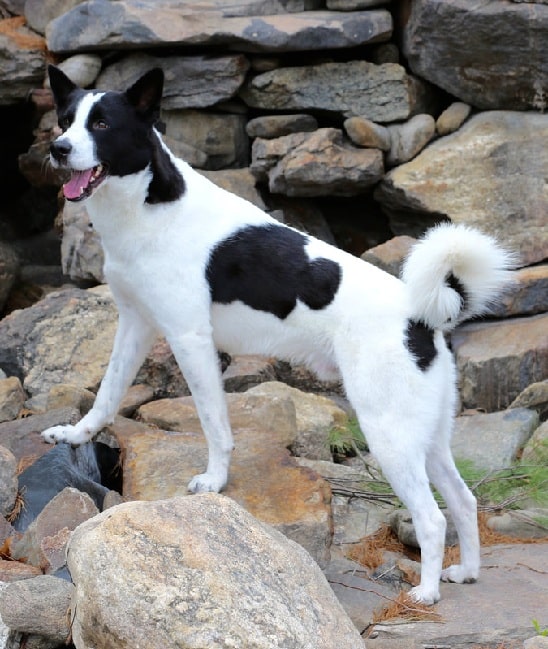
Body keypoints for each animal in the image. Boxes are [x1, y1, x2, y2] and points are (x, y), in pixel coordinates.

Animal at [44, 66, 512, 604]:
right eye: (65, 120)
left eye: (102, 124)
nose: (58, 148)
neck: (150, 205)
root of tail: (422, 316)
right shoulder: (134, 325)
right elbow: (106, 395)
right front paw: (75, 434)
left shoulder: (190, 338)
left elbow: (215, 426)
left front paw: (215, 481)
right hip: (426, 434)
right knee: (463, 499)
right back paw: (467, 572)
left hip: (389, 434)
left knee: (433, 518)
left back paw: (427, 593)